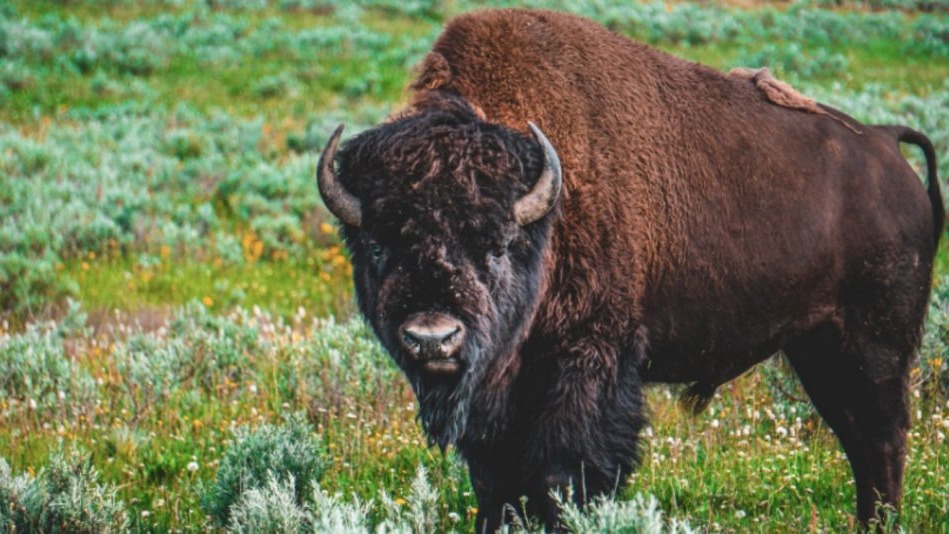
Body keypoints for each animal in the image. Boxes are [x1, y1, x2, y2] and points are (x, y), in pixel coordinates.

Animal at [316, 9, 944, 531]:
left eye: (495, 245)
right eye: (377, 246)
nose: (433, 337)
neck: (546, 216)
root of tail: (887, 145)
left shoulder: (588, 361)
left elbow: (563, 476)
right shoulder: (496, 400)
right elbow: (496, 483)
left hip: (873, 342)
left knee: (882, 435)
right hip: (817, 347)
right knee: (859, 435)